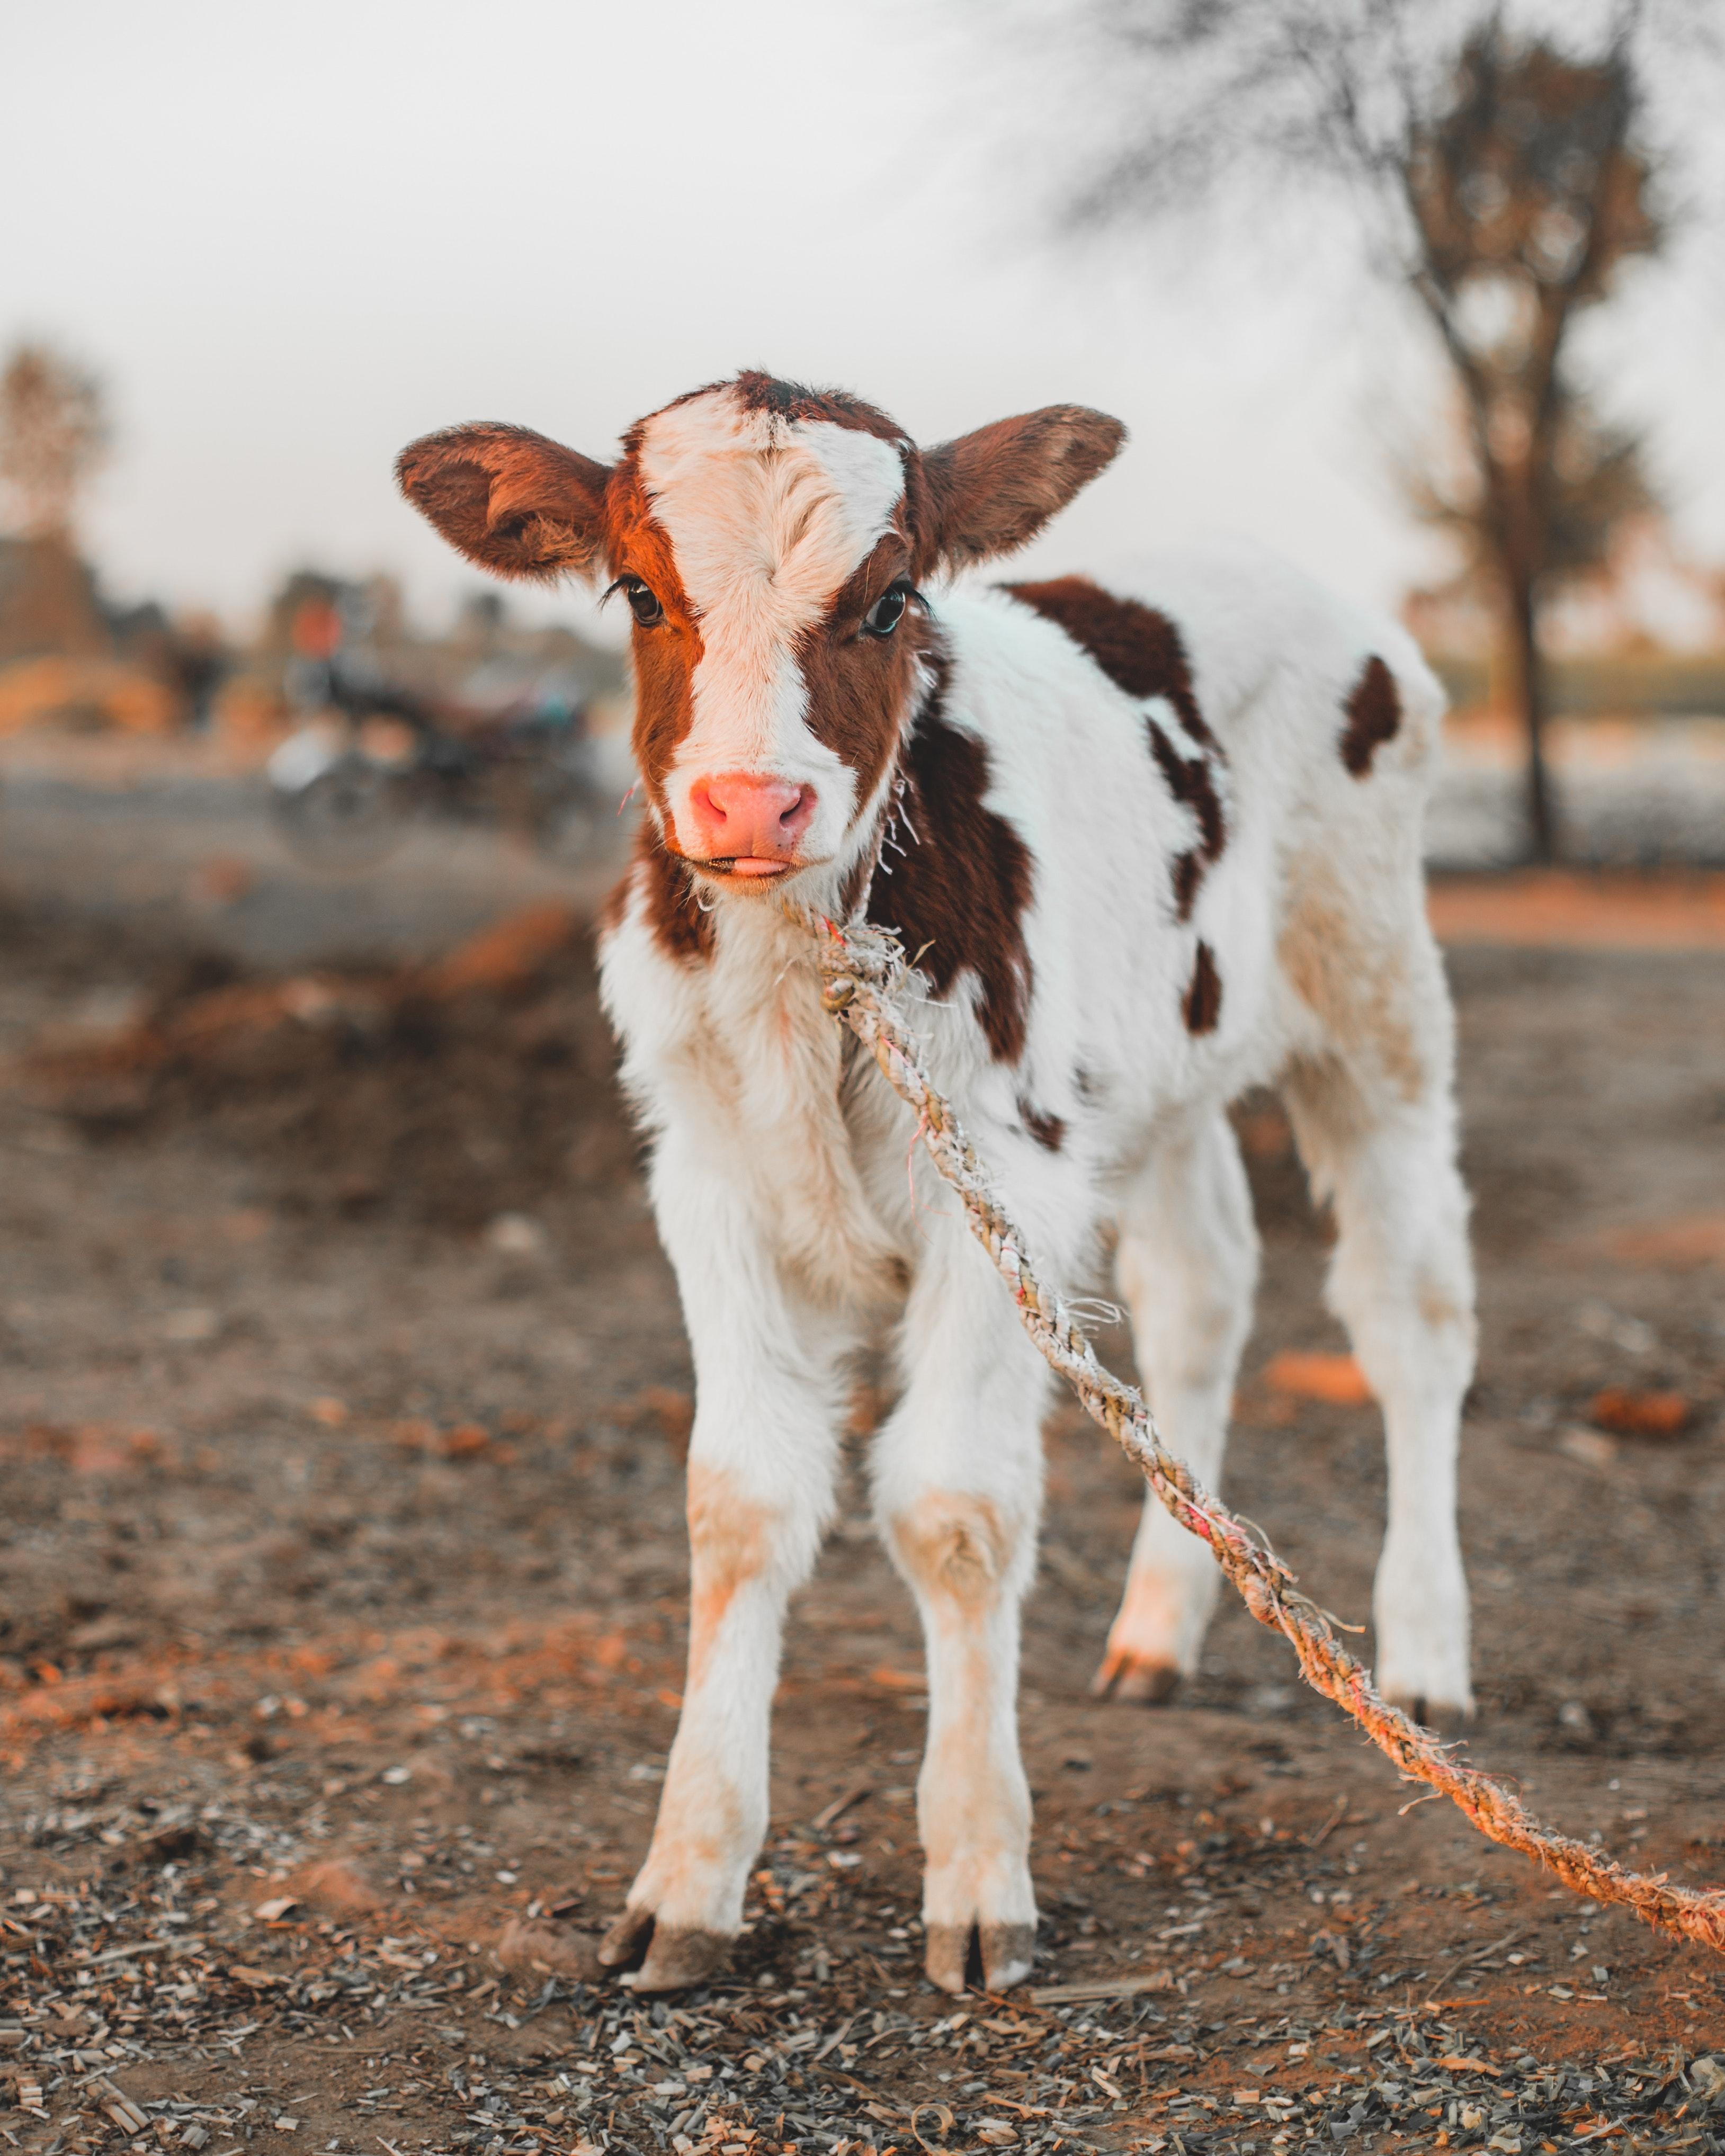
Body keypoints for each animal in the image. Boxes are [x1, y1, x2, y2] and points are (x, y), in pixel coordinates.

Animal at [397, 375, 1474, 2000]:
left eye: (889, 599)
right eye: (640, 591)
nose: (750, 803)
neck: (806, 963)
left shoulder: (1005, 1171)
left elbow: (955, 1508)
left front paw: (977, 1868)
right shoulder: (706, 1178)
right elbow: (739, 1500)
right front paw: (688, 1873)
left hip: (1375, 1003)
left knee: (1409, 1317)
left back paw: (1422, 1652)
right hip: (1159, 1072)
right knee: (1203, 1293)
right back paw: (1161, 1625)